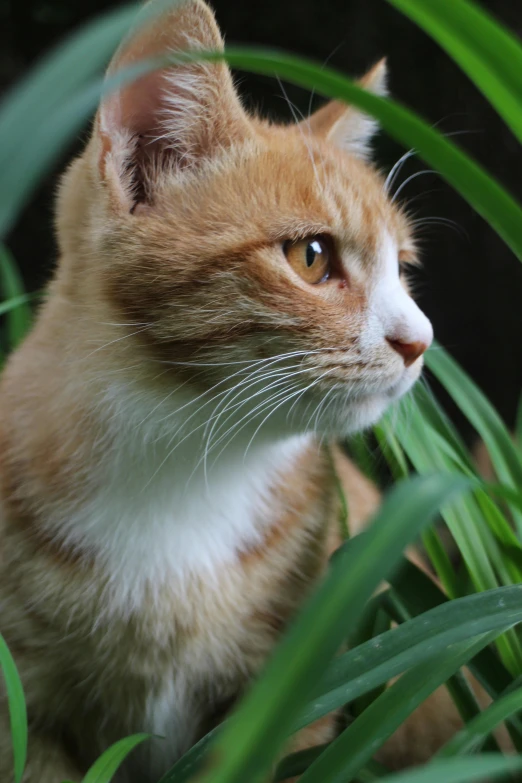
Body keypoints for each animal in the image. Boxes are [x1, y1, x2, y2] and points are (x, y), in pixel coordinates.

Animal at [0, 1, 440, 783]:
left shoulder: (296, 691)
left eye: (404, 269)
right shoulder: (21, 706)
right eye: (312, 257)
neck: (180, 470)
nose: (420, 340)